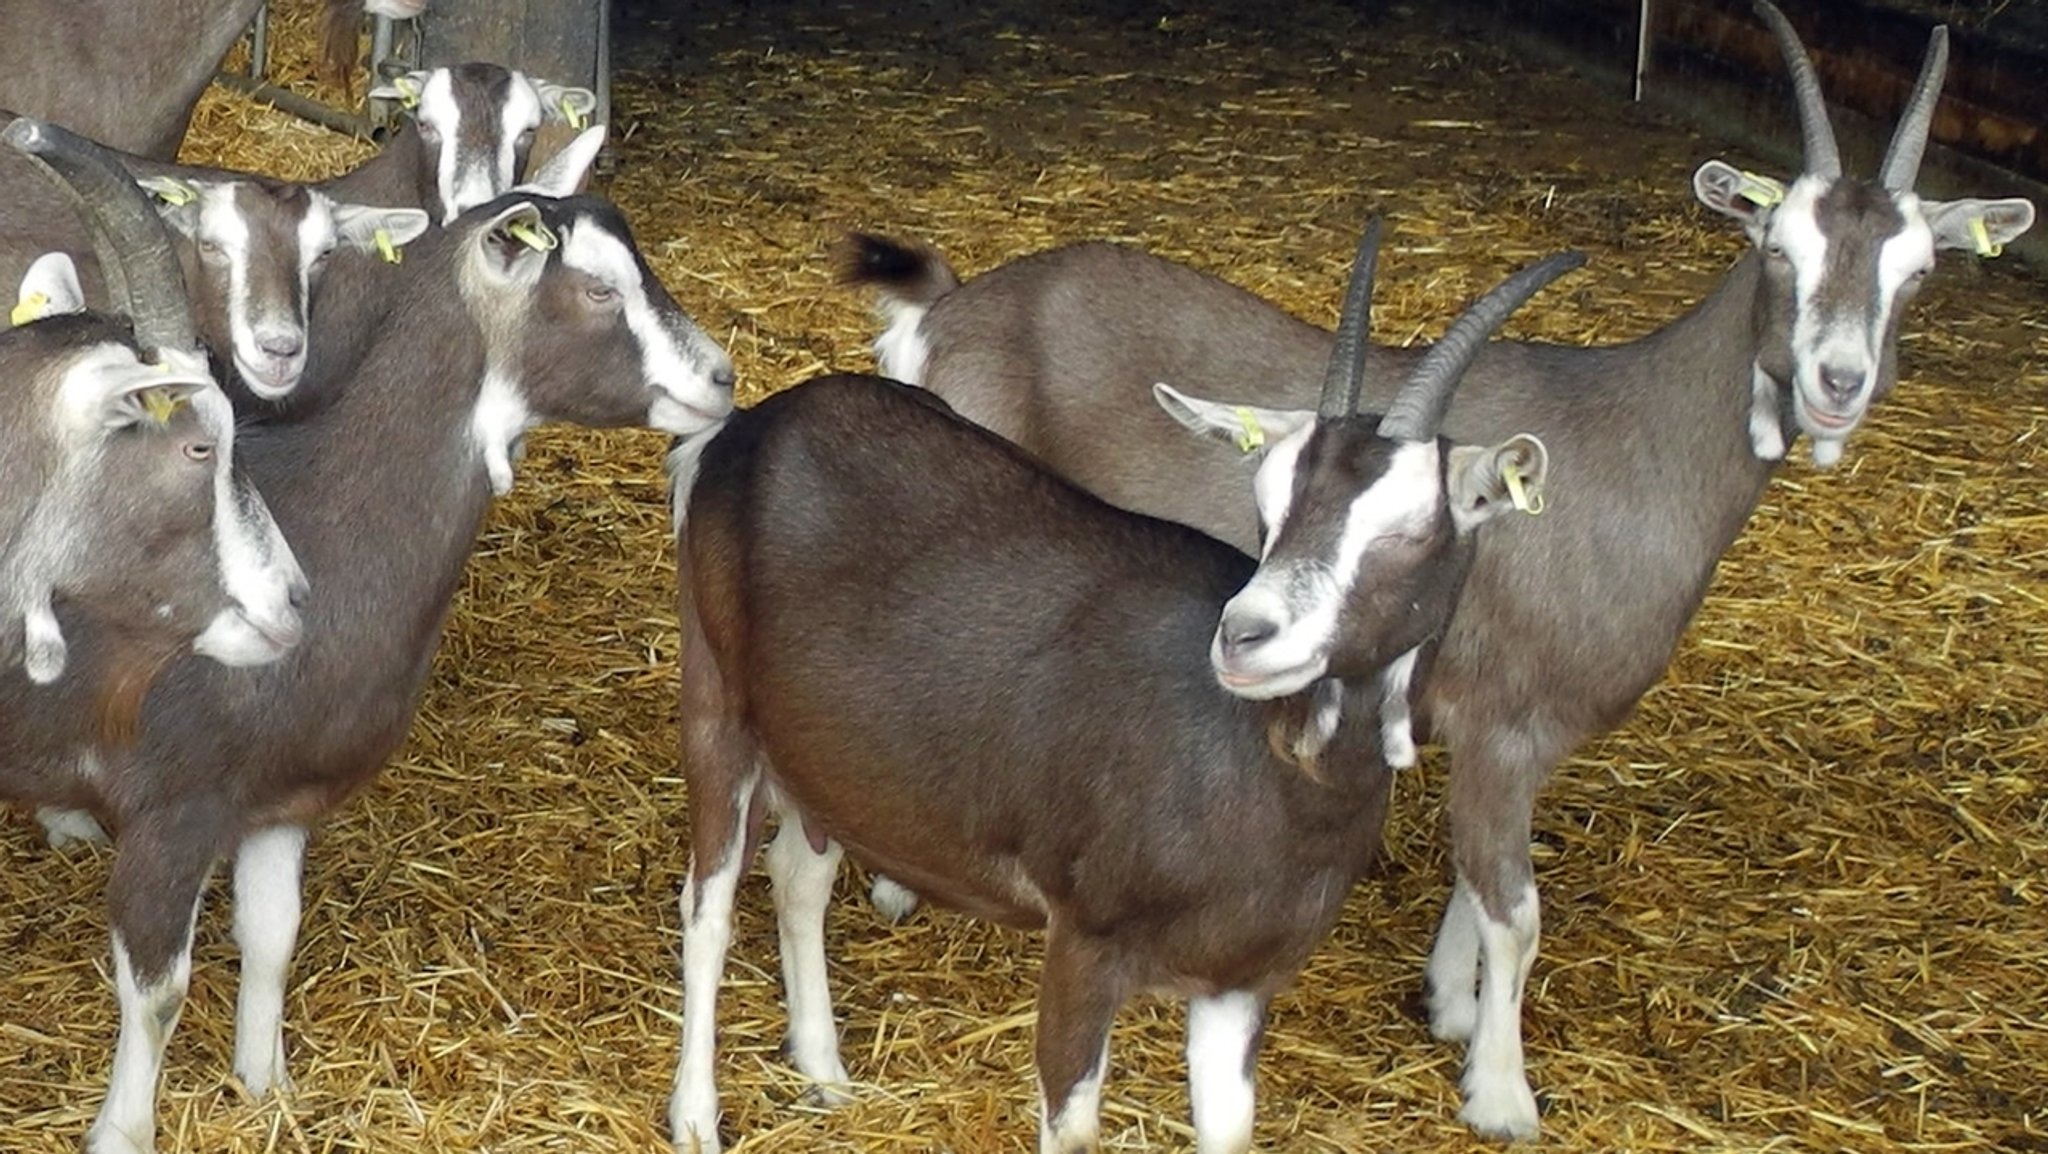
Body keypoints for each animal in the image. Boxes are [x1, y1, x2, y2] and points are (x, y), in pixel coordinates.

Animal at [0, 140, 737, 1154]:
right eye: (596, 291)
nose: (721, 379)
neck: (327, 513)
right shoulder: (174, 806)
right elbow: (156, 992)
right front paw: (123, 1131)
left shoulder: (280, 800)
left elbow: (273, 937)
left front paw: (264, 1085)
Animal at [663, 223, 1572, 1154]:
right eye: (1267, 498)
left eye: (1417, 524)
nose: (1246, 635)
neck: (1271, 772)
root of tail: (750, 428)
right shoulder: (1085, 940)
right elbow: (1071, 1125)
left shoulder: (1236, 982)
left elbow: (1228, 1134)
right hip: (716, 700)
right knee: (708, 904)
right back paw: (695, 1115)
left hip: (826, 752)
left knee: (798, 875)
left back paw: (823, 1068)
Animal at [843, 4, 2031, 1139]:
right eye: (1777, 247)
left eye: (1919, 269)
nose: (1837, 381)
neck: (1633, 442)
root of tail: (943, 317)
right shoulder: (1507, 724)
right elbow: (1516, 910)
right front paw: (1499, 1092)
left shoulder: (1505, 731)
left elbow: (1476, 880)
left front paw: (1449, 1006)